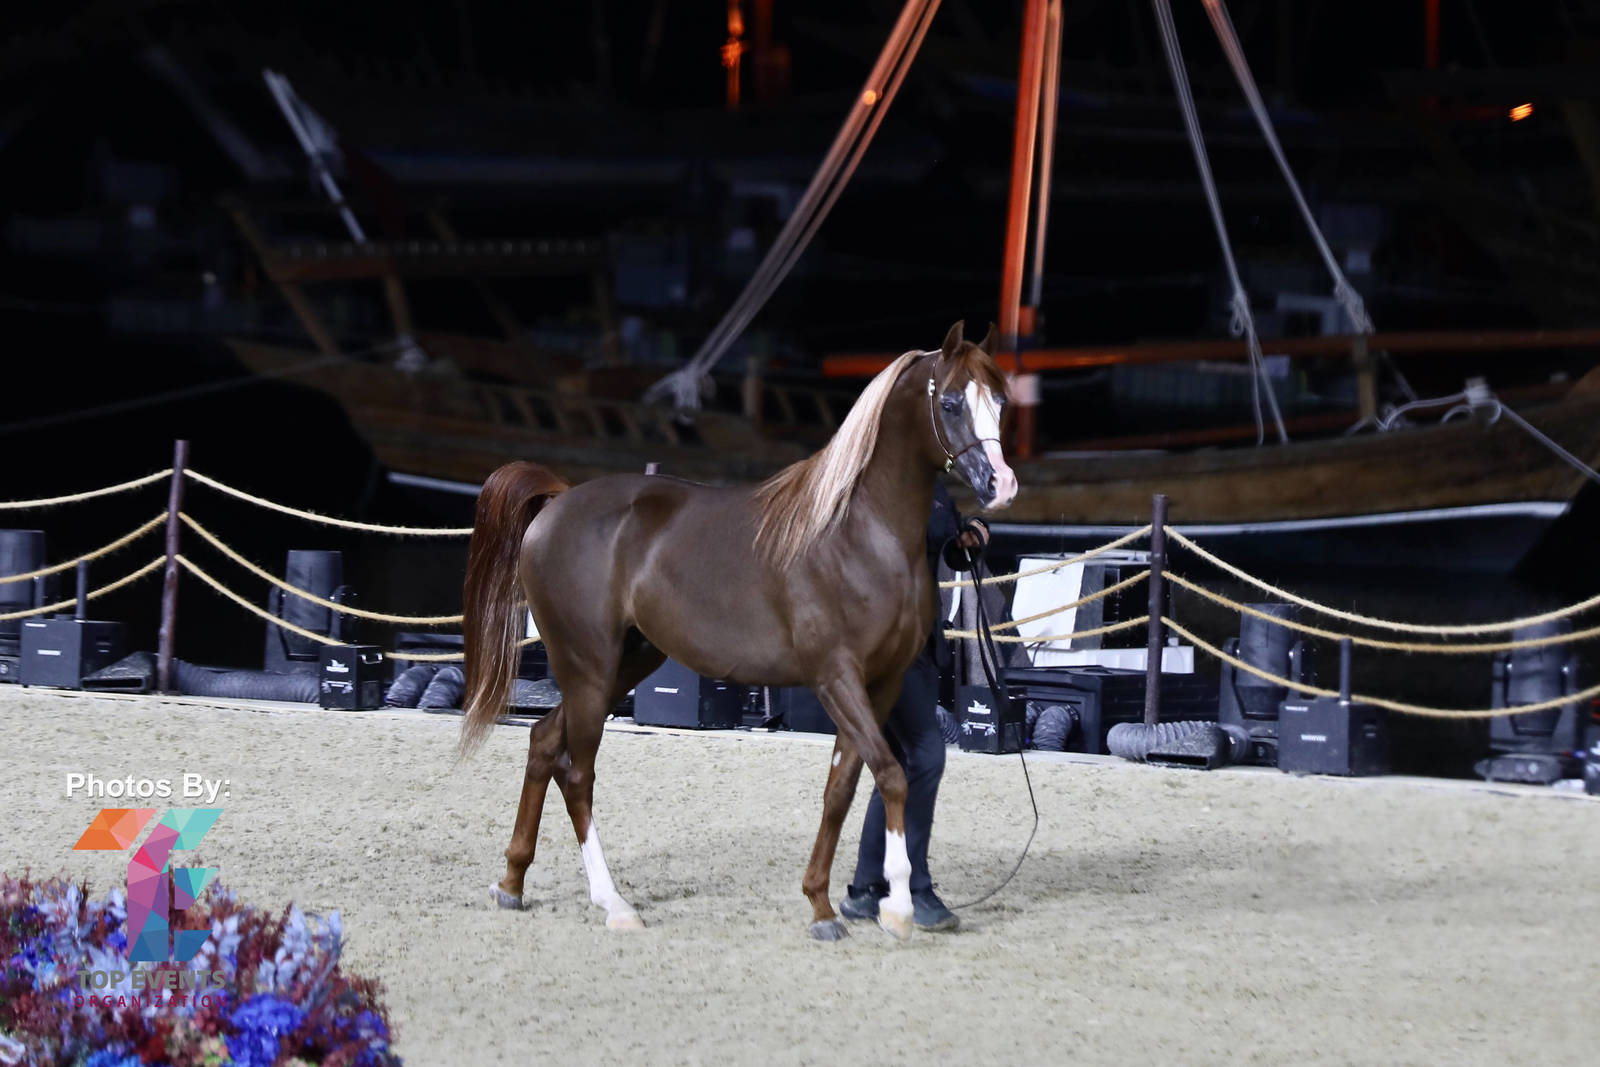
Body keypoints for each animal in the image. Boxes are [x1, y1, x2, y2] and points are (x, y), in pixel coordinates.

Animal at [458, 320, 1018, 941]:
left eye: (1000, 401)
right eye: (951, 402)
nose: (1001, 485)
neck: (856, 534)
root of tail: (556, 504)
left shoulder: (882, 684)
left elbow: (845, 786)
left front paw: (823, 906)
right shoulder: (836, 678)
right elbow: (892, 776)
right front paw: (895, 908)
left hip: (622, 665)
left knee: (542, 743)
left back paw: (512, 883)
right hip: (587, 667)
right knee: (577, 774)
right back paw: (614, 904)